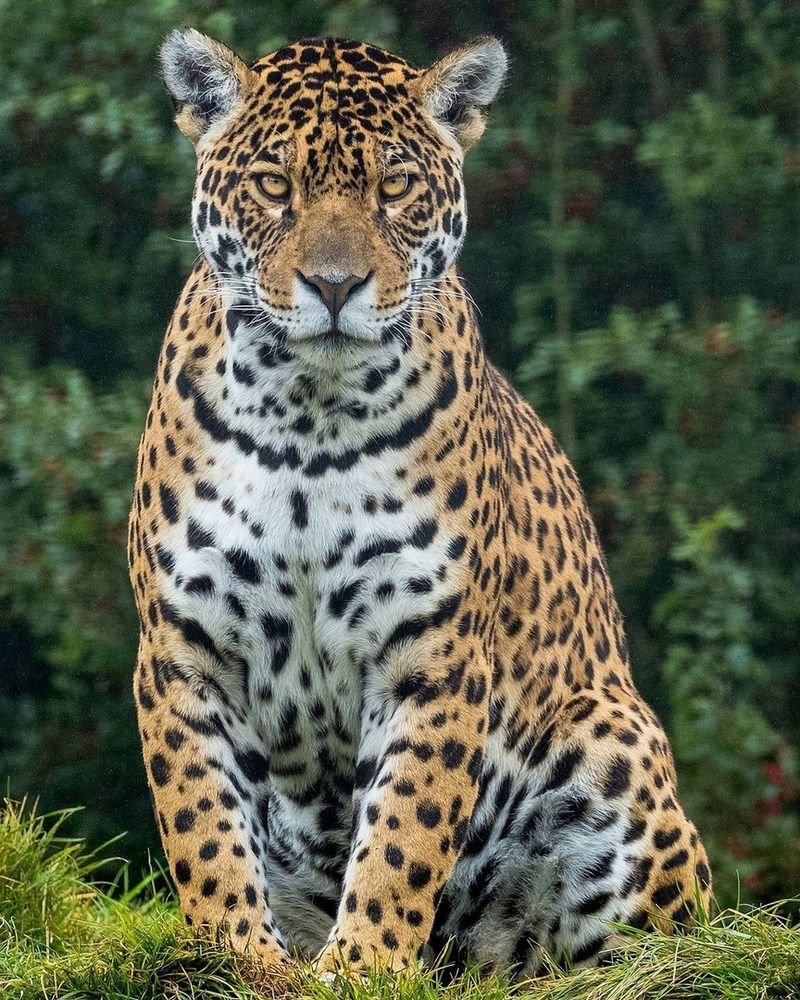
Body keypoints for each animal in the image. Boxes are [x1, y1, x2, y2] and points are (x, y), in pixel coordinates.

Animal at [128, 26, 712, 980]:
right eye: (274, 186)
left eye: (393, 187)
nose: (334, 285)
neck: (308, 415)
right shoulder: (186, 646)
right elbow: (202, 825)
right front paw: (238, 958)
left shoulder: (432, 652)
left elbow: (405, 827)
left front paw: (364, 963)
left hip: (610, 741)